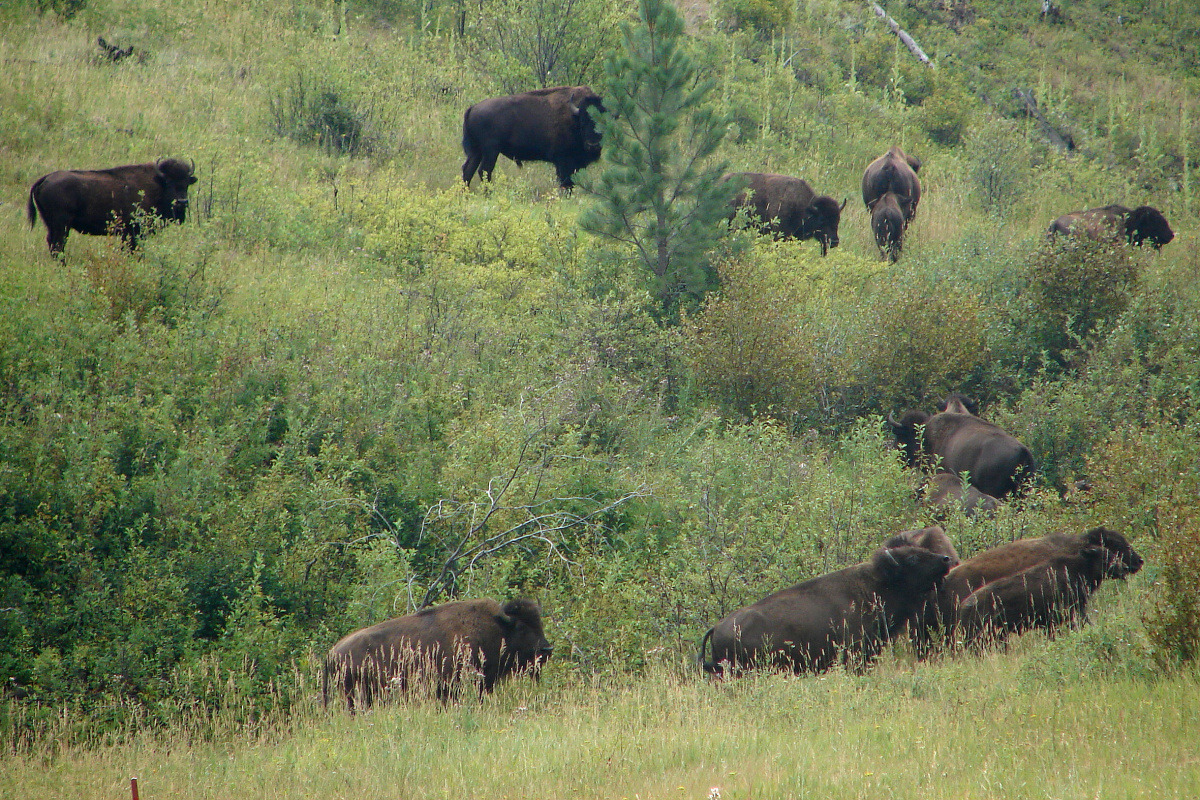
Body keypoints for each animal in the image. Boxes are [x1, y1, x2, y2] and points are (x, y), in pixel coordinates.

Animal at [460, 85, 604, 190]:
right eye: (583, 122)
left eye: (602, 122)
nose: (593, 145)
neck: (574, 117)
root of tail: (473, 108)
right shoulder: (563, 160)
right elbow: (565, 181)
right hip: (491, 151)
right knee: (484, 170)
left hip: (476, 152)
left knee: (468, 170)